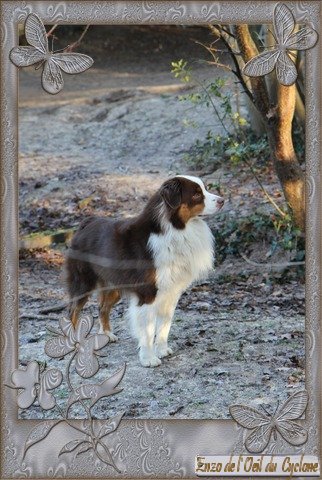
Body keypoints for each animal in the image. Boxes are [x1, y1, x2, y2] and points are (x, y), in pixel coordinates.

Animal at [65, 176, 224, 368]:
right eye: (196, 194)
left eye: (204, 189)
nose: (223, 200)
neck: (174, 229)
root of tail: (86, 222)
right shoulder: (147, 293)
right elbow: (148, 330)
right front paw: (148, 358)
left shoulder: (171, 292)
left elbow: (164, 325)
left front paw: (162, 350)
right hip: (83, 282)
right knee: (73, 311)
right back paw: (73, 343)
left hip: (114, 286)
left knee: (102, 307)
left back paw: (106, 334)